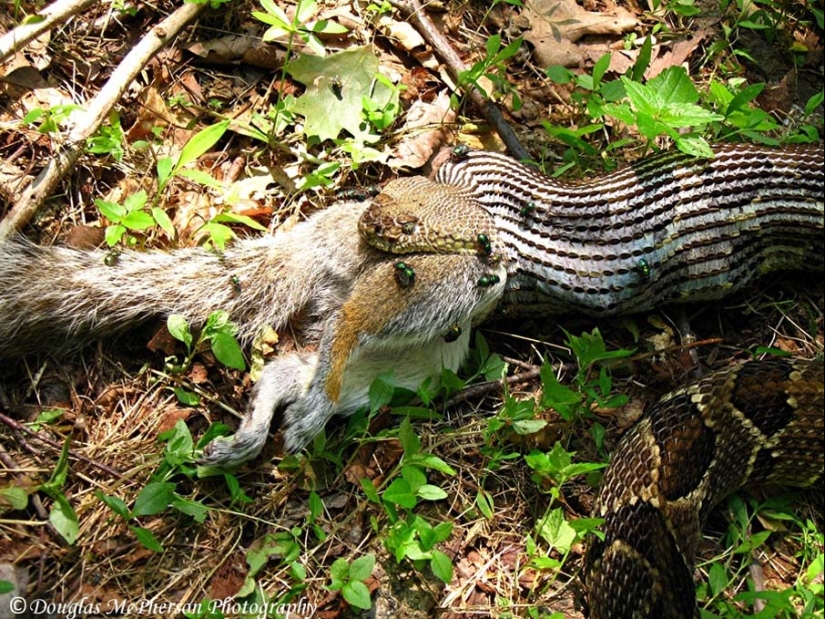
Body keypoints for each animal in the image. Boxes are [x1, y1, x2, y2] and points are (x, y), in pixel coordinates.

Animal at [0, 177, 506, 468]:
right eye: (379, 193)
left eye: (408, 224)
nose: (369, 223)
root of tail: (312, 243)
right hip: (427, 298)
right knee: (345, 330)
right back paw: (305, 415)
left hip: (394, 364)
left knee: (294, 370)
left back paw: (249, 437)